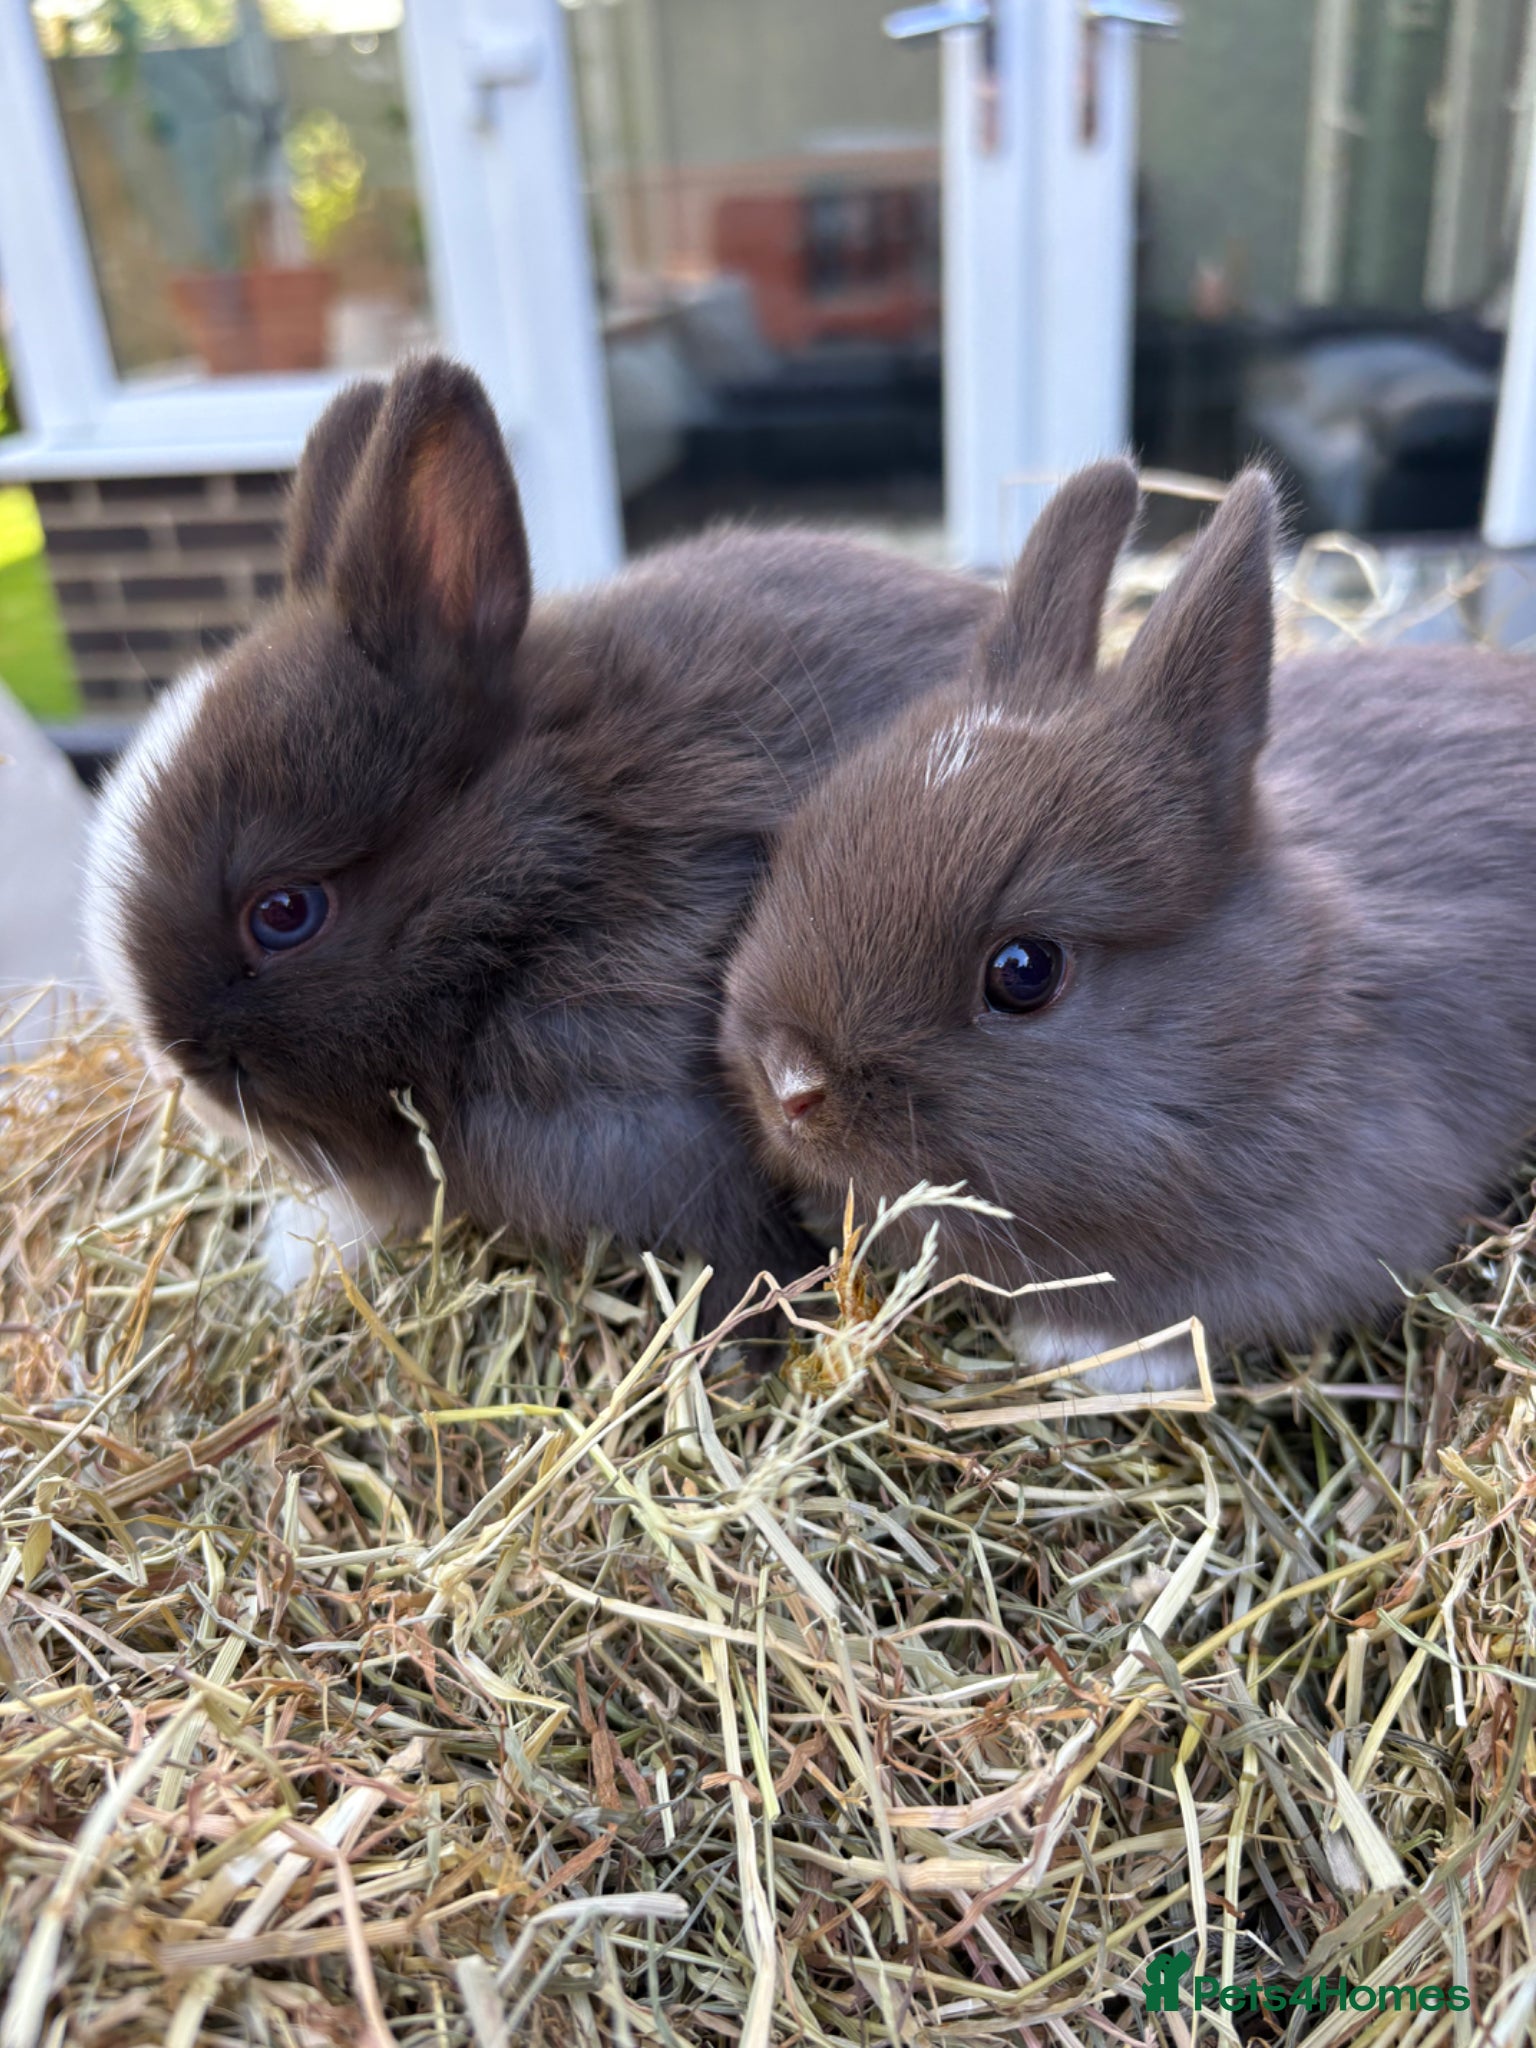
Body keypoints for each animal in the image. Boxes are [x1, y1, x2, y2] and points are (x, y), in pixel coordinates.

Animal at [84, 354, 997, 1342]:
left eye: (284, 912)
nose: (179, 1068)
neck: (545, 884)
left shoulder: (680, 1142)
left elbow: (744, 1259)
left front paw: (732, 1354)